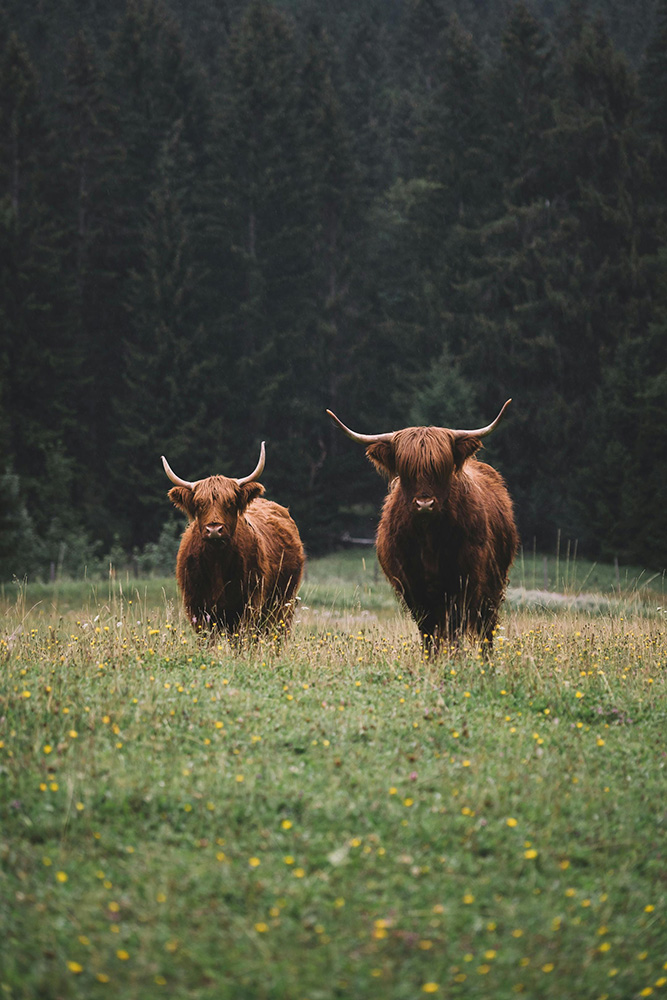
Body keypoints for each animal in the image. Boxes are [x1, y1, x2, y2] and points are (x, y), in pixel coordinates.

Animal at [162, 443, 305, 639]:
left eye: (230, 502)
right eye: (199, 503)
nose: (214, 529)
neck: (216, 562)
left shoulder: (247, 606)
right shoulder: (197, 608)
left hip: (283, 603)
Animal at [327, 401, 518, 656]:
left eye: (441, 468)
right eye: (406, 470)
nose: (424, 503)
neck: (429, 540)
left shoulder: (463, 581)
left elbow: (454, 626)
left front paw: (453, 658)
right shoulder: (412, 585)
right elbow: (428, 629)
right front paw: (431, 659)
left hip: (493, 584)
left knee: (486, 627)